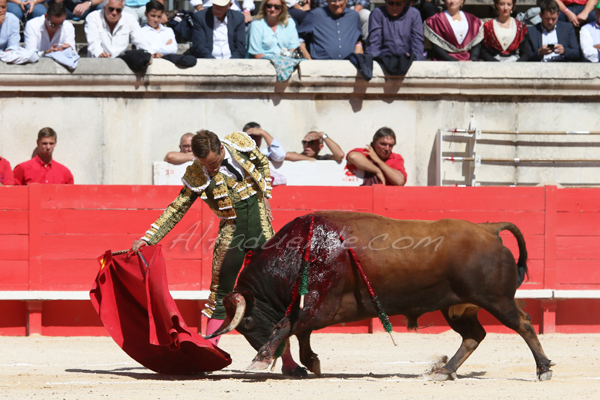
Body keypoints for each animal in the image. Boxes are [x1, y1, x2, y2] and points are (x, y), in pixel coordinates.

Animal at [207, 211, 552, 380]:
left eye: (246, 324)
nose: (273, 357)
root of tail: (488, 229)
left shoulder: (322, 304)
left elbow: (287, 325)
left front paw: (258, 361)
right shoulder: (317, 305)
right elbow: (300, 329)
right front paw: (310, 363)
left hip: (496, 300)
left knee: (523, 323)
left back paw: (543, 369)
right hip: (458, 307)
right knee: (474, 335)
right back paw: (443, 371)